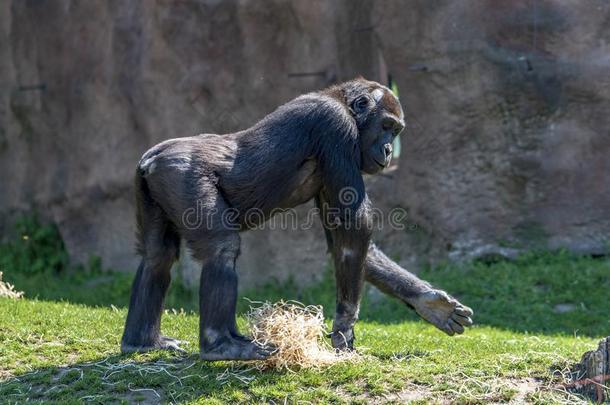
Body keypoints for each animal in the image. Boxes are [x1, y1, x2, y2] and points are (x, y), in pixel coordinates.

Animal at [119, 77, 470, 358]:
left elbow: (346, 242)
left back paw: (143, 342)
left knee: (157, 256)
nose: (387, 149)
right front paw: (345, 325)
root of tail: (151, 157)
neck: (342, 103)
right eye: (385, 127)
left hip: (155, 184)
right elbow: (353, 229)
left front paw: (430, 303)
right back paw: (221, 346)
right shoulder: (335, 127)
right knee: (221, 248)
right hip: (182, 172)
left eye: (395, 131)